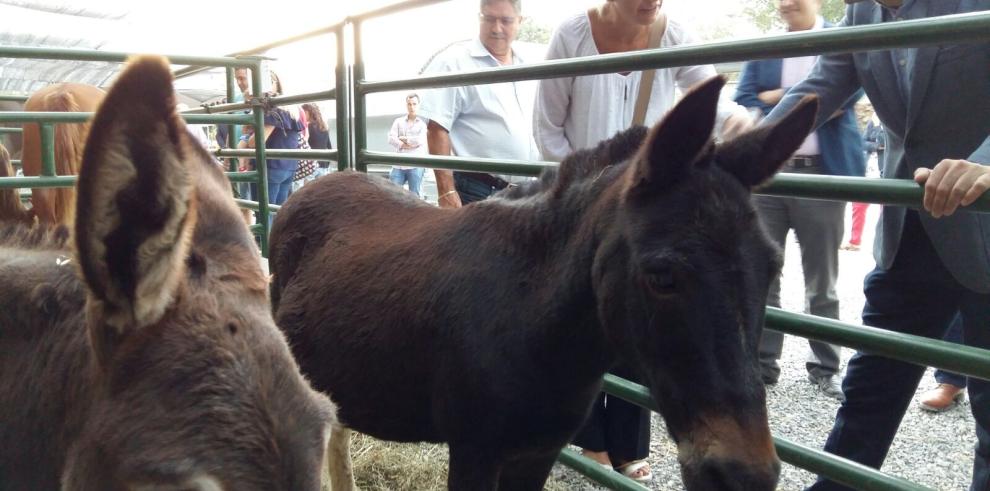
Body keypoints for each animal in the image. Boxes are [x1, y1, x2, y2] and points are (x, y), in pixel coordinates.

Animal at [272, 78, 820, 491]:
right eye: (661, 276)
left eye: (773, 267)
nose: (745, 474)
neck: (534, 322)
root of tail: (322, 183)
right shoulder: (475, 451)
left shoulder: (537, 452)